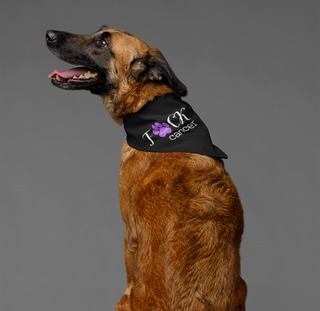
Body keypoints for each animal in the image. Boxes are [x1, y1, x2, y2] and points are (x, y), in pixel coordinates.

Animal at [45, 25, 248, 311]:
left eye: (103, 42)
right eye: (99, 32)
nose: (49, 34)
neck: (148, 106)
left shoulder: (129, 235)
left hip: (124, 297)